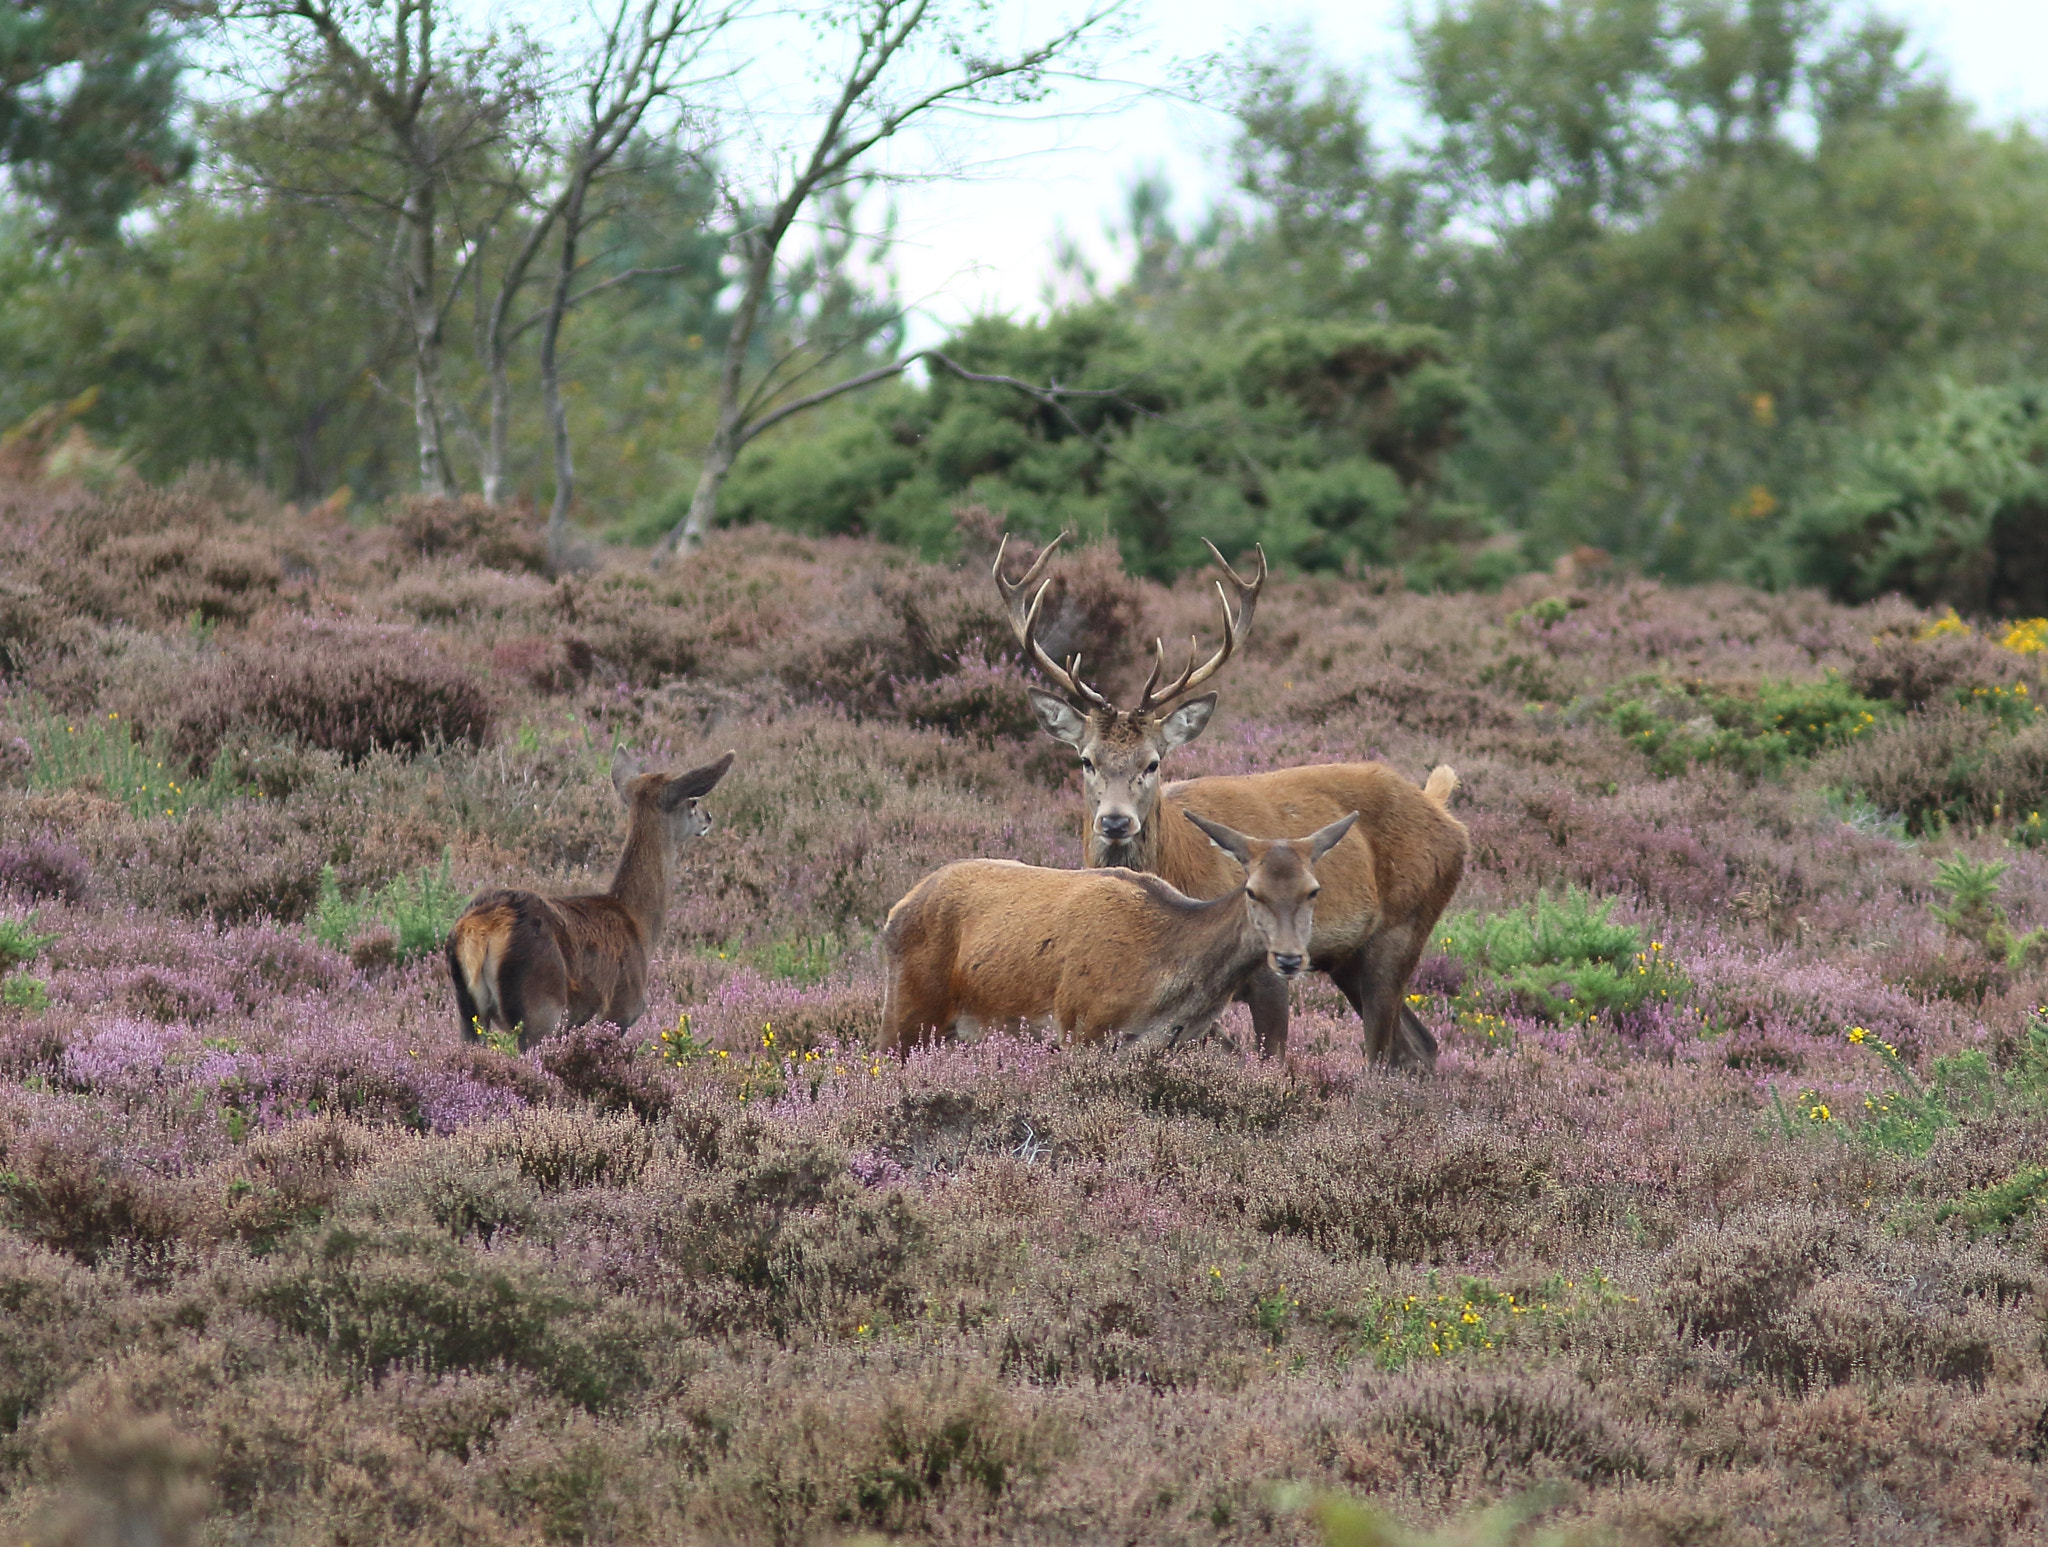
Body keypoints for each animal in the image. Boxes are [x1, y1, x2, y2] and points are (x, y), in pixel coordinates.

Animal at [448, 749, 737, 1049]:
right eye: (692, 801)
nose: (708, 817)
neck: (639, 925)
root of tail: (483, 930)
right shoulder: (622, 1008)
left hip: (467, 1009)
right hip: (540, 1005)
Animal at [880, 811, 1359, 1049]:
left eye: (1313, 890)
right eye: (1252, 891)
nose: (1289, 958)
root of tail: (894, 912)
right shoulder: (1080, 1027)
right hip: (905, 1013)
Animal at [999, 532, 1466, 1065]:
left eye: (1153, 762)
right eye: (1086, 760)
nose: (1116, 822)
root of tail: (1444, 812)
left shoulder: (1269, 970)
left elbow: (1274, 1055)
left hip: (1402, 930)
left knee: (1385, 1050)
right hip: (1352, 958)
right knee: (1420, 1045)